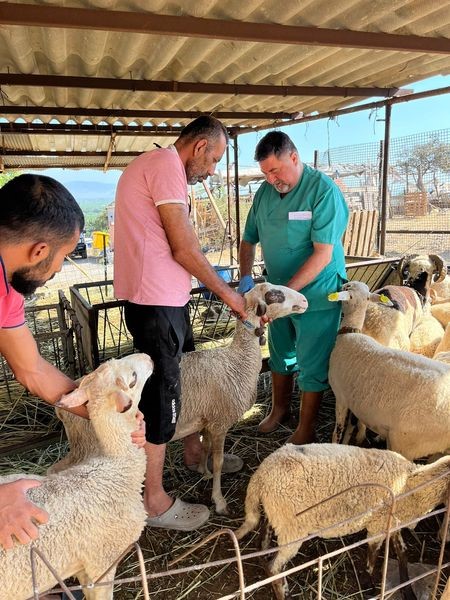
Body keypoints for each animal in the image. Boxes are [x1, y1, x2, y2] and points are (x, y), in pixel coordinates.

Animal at [171, 282, 308, 516]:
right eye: (275, 295)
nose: (306, 300)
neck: (237, 361)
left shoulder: (208, 420)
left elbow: (205, 448)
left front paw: (203, 472)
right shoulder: (220, 422)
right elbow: (218, 461)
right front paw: (219, 501)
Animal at [236, 440, 450, 600]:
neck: (411, 486)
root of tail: (260, 475)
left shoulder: (391, 522)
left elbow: (402, 552)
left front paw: (408, 591)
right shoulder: (378, 526)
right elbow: (372, 557)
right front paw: (369, 586)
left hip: (276, 515)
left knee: (264, 548)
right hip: (291, 527)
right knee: (275, 566)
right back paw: (283, 592)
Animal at [326, 282, 450, 460]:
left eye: (347, 287)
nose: (342, 283)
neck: (350, 332)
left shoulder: (341, 397)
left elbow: (338, 430)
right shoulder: (355, 401)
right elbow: (352, 425)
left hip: (406, 443)